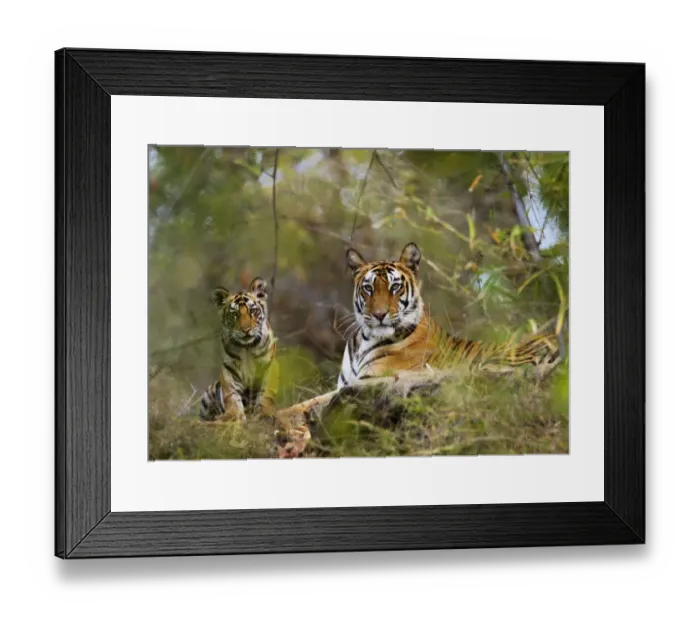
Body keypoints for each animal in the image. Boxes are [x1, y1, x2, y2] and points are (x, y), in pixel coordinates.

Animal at [200, 277, 279, 423]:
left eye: (252, 311)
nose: (246, 330)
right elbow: (231, 394)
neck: (247, 347)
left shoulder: (269, 365)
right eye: (235, 314)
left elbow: (266, 393)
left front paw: (265, 413)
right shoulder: (229, 369)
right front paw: (233, 415)